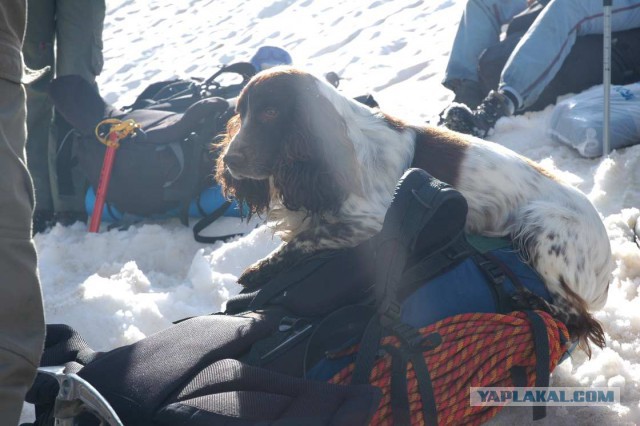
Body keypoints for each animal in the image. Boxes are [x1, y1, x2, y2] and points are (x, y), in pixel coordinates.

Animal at [216, 65, 616, 352]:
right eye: (240, 113)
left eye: (270, 112)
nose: (230, 160)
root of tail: (606, 267)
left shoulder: (373, 219)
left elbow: (307, 238)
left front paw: (257, 271)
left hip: (541, 229)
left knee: (579, 319)